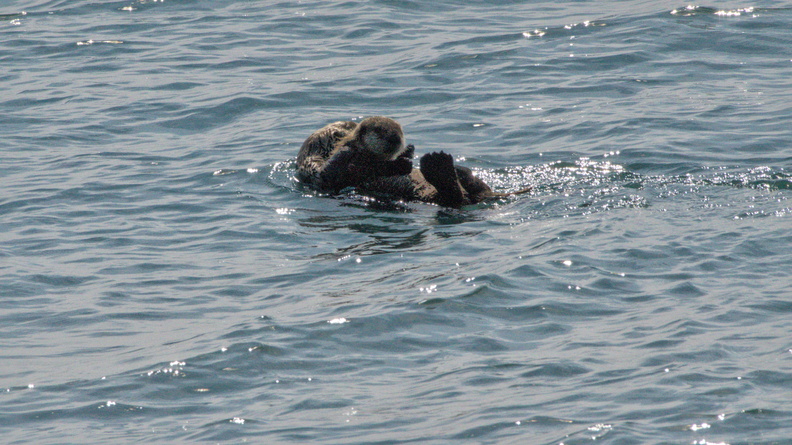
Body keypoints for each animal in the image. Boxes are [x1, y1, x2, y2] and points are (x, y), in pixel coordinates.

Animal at [296, 116, 528, 208]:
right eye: (379, 131)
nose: (396, 138)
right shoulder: (333, 173)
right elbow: (345, 171)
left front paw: (407, 153)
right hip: (432, 196)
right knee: (453, 198)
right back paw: (438, 165)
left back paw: (458, 170)